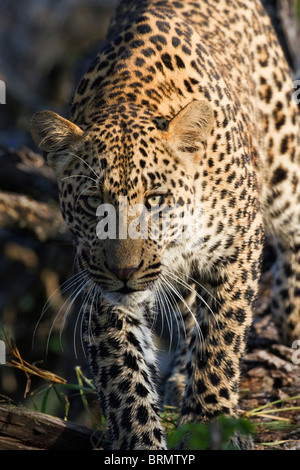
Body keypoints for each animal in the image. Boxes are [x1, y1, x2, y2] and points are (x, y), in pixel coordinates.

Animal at [31, 0, 300, 450]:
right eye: (92, 202)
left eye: (155, 200)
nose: (125, 272)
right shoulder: (102, 288)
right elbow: (123, 379)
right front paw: (141, 437)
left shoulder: (238, 250)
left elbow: (221, 339)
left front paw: (211, 420)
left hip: (283, 155)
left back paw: (290, 314)